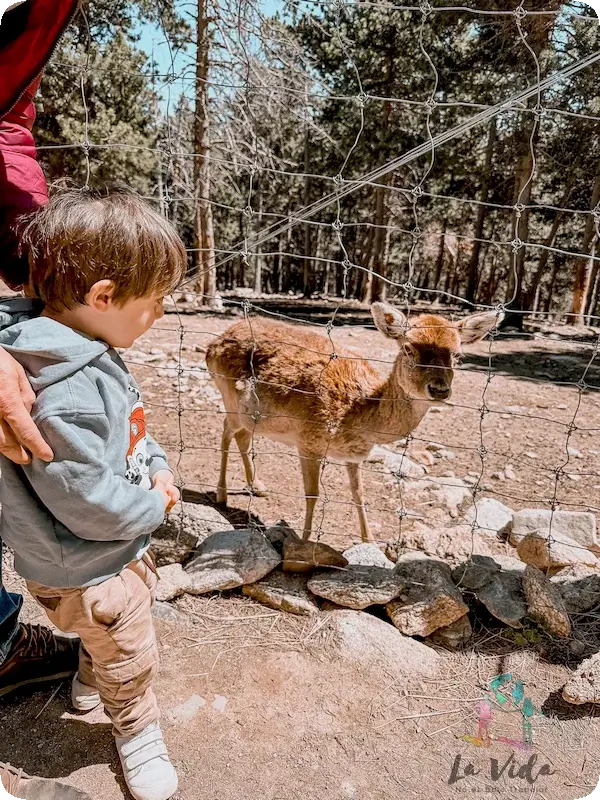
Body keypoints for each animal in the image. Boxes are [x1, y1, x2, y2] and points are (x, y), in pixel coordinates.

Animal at [207, 304, 502, 544]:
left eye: (458, 355)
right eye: (408, 348)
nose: (439, 389)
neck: (356, 415)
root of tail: (213, 344)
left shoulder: (354, 455)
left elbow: (359, 493)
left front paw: (369, 540)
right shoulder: (308, 440)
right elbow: (312, 494)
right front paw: (304, 541)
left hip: (251, 416)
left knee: (243, 436)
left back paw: (257, 486)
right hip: (228, 397)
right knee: (225, 432)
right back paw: (221, 494)